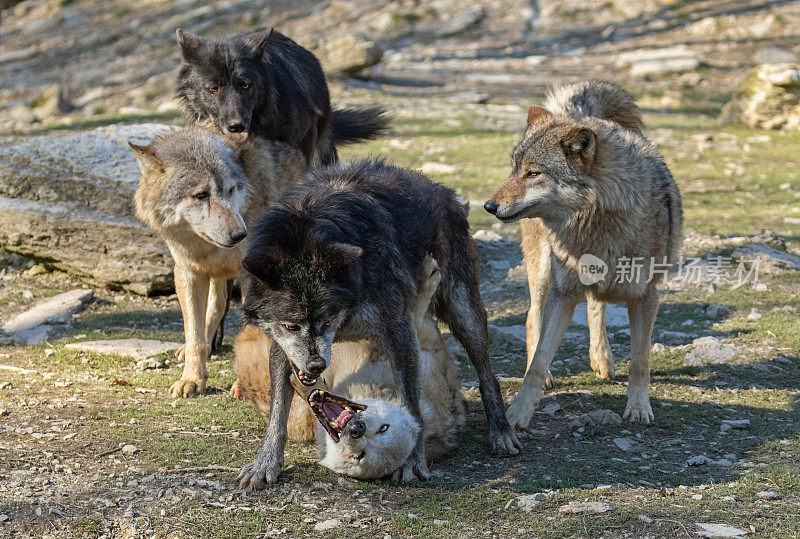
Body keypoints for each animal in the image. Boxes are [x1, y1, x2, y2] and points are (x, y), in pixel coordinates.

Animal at [482, 80, 680, 432]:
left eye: (533, 173)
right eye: (514, 169)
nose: (488, 206)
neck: (599, 220)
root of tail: (579, 114)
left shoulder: (646, 295)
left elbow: (640, 361)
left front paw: (638, 408)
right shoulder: (563, 293)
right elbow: (537, 363)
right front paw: (517, 413)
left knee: (595, 306)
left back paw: (602, 360)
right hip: (542, 274)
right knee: (533, 317)